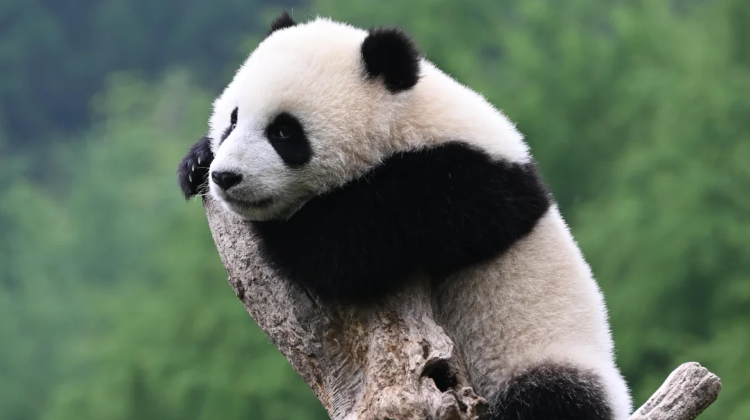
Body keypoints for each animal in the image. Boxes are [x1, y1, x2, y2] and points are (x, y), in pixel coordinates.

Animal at [178, 11, 633, 420]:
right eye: (233, 119)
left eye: (284, 132)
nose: (226, 177)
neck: (406, 117)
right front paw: (195, 162)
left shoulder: (458, 185)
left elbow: (346, 251)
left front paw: (283, 229)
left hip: (541, 351)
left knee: (552, 395)